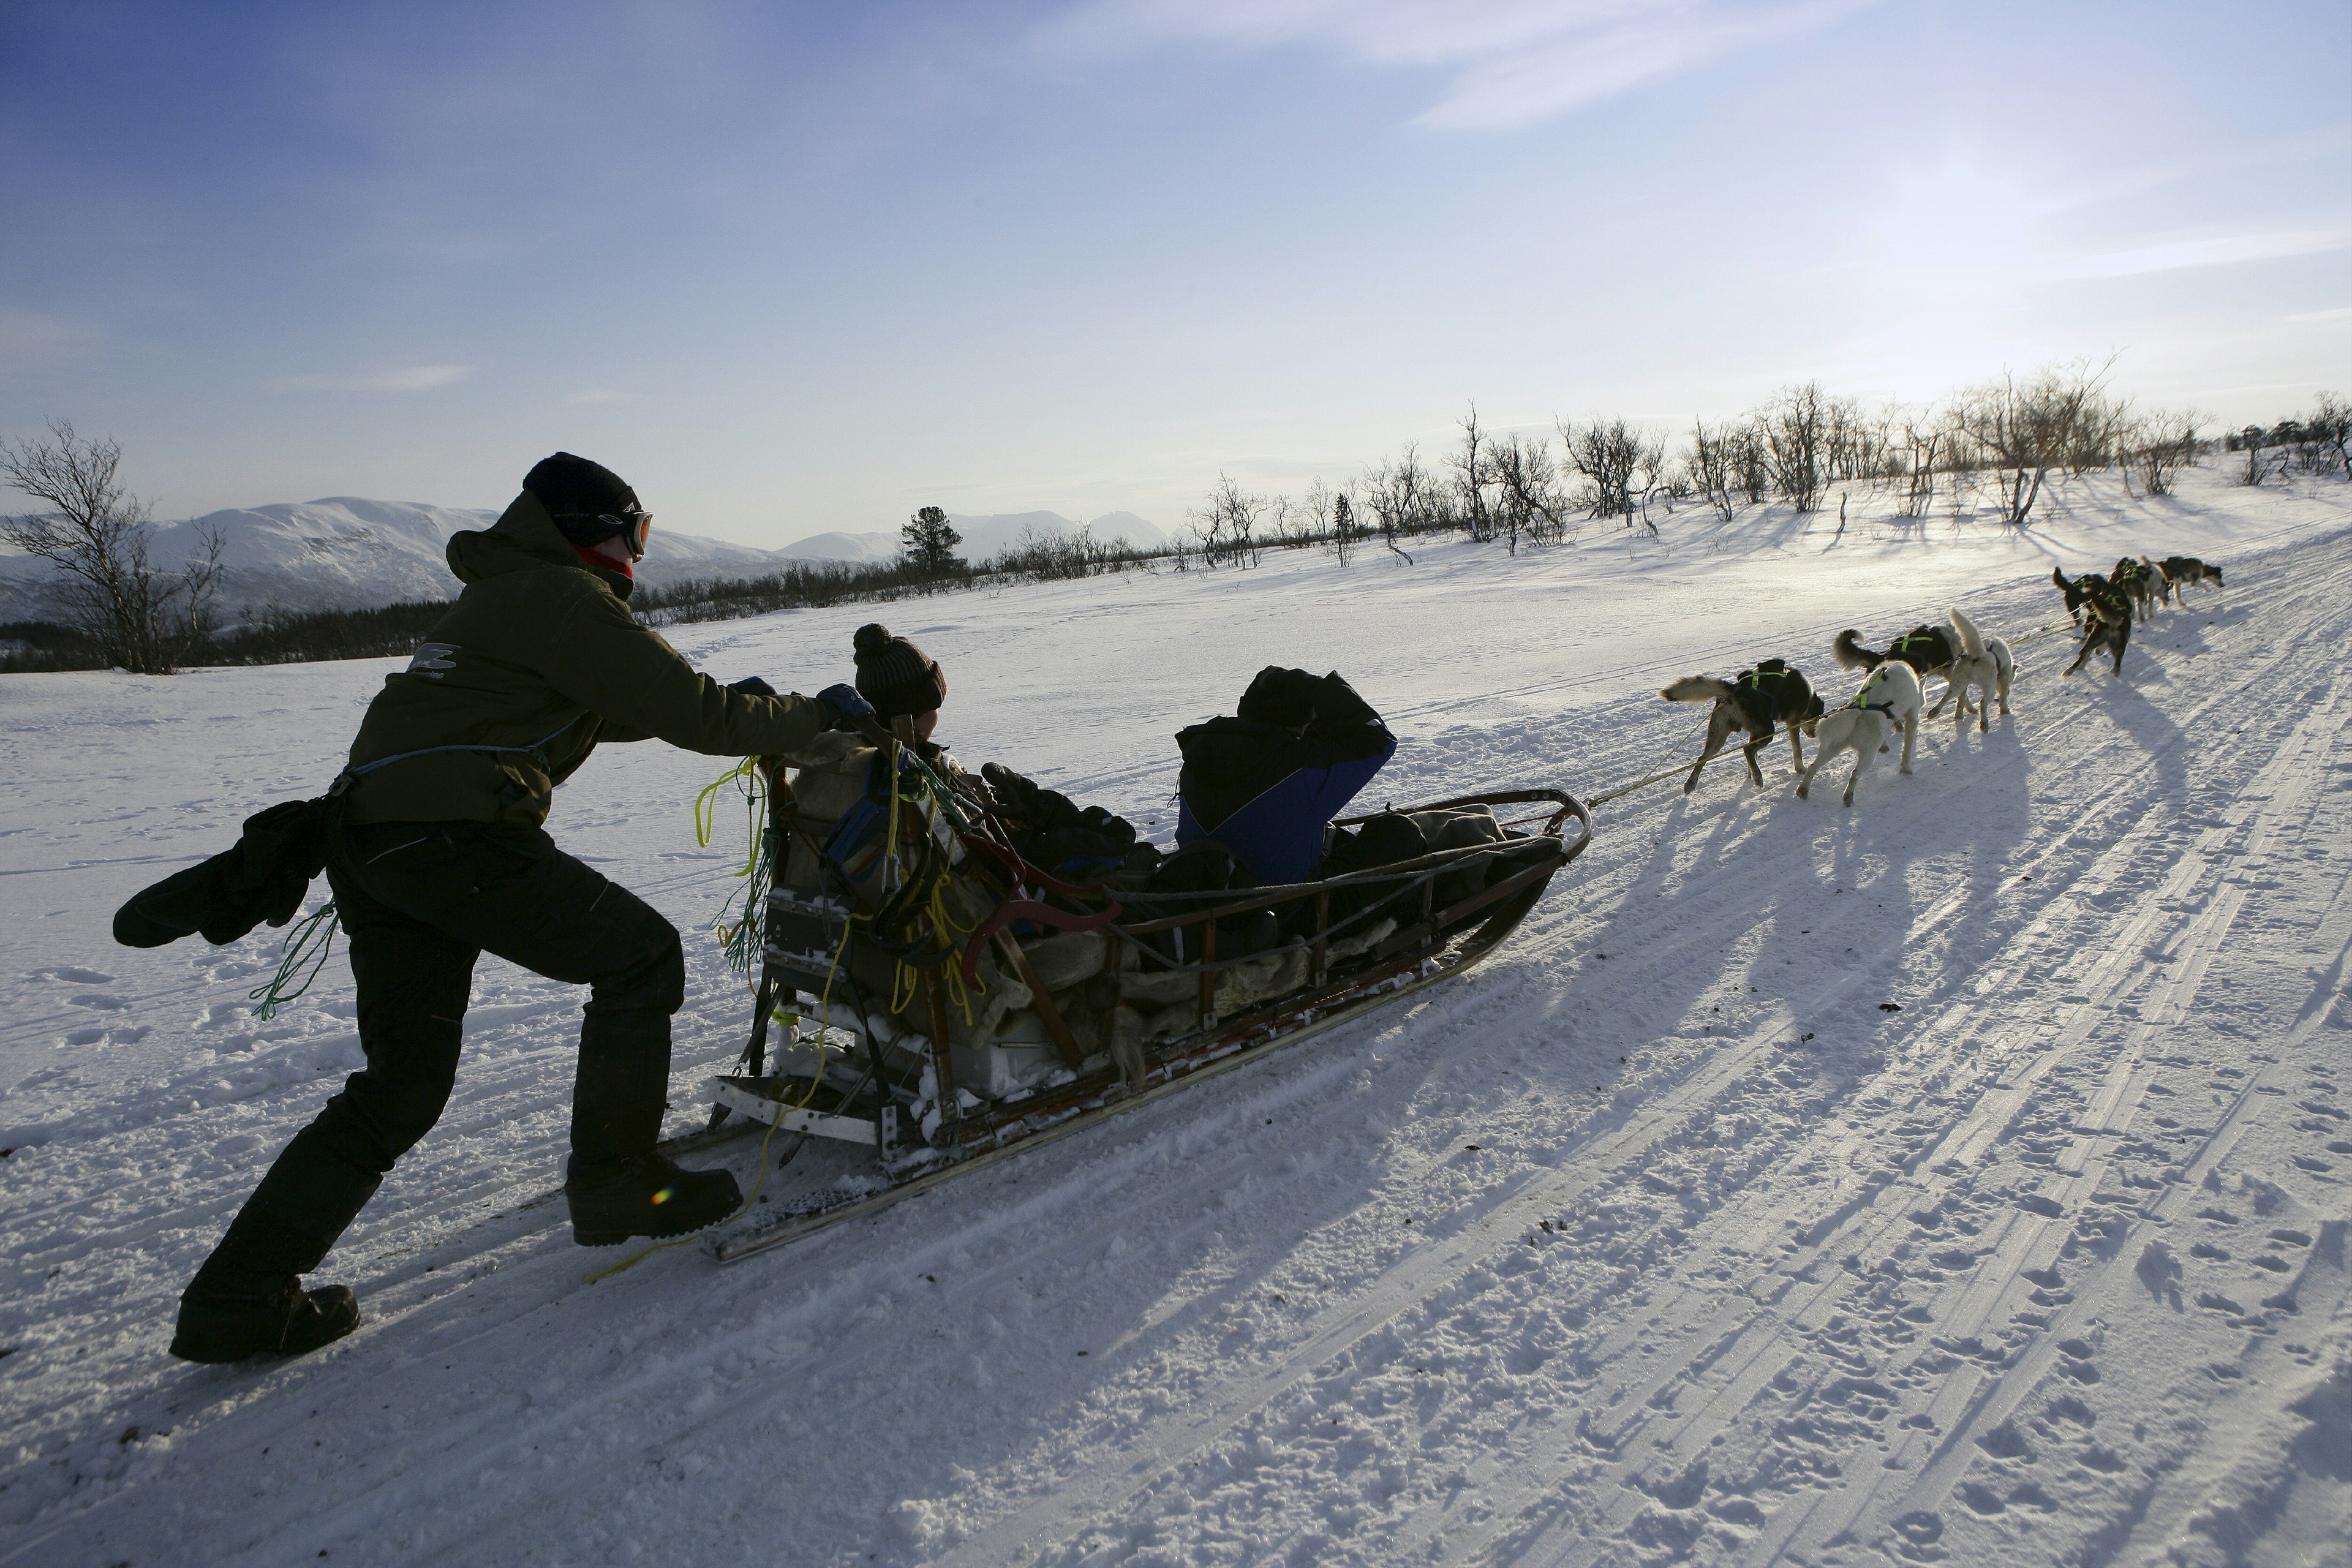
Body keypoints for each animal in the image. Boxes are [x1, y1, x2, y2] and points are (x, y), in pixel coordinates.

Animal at [1646, 658, 1825, 790]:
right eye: (1817, 719)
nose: (1814, 734)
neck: (1808, 696)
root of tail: (1735, 690)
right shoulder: (1792, 722)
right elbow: (1797, 749)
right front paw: (1800, 769)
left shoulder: (1754, 732)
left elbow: (1753, 757)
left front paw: (1750, 772)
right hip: (1766, 731)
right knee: (1747, 750)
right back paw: (1758, 777)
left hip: (1719, 736)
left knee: (1703, 758)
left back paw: (1691, 784)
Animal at [1787, 668, 1919, 809]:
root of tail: (1858, 711)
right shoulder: (1912, 716)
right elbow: (1907, 748)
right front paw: (1906, 769)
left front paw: (1885, 746)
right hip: (1868, 754)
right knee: (1855, 774)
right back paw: (1848, 797)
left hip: (1833, 747)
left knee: (1813, 767)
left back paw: (1803, 790)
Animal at [1919, 611, 2013, 738]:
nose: (2009, 692)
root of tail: (1977, 656)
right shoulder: (2005, 677)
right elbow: (2003, 697)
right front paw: (2005, 710)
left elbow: (1961, 700)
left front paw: (1959, 713)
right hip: (1990, 688)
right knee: (1983, 703)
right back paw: (1984, 724)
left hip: (1958, 684)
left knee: (1947, 696)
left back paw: (1934, 712)